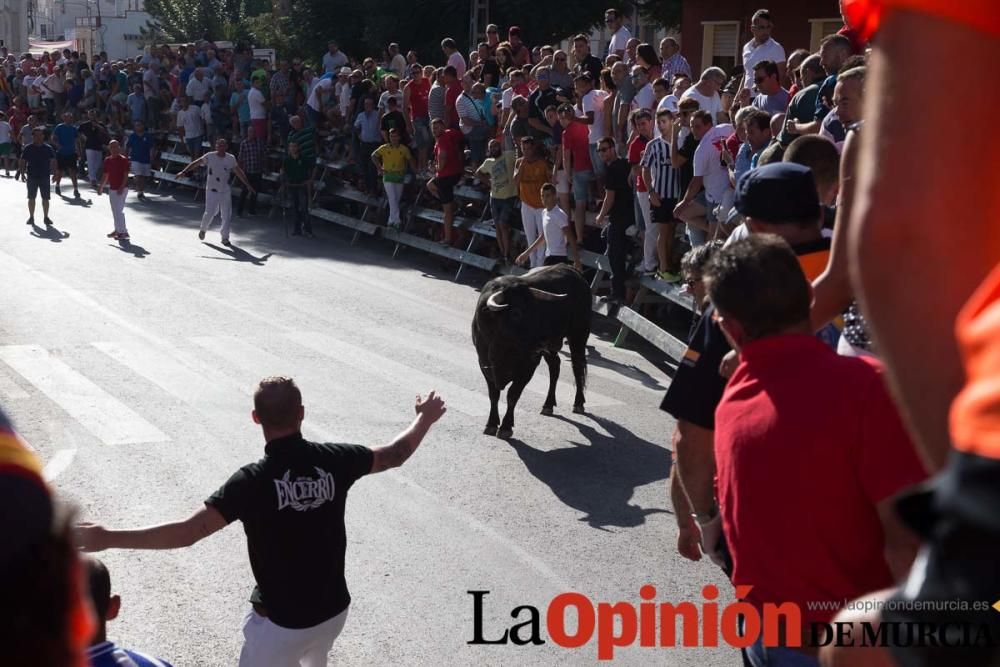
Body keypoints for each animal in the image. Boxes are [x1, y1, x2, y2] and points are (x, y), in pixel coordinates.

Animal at [470, 266, 588, 438]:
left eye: (536, 310)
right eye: (516, 313)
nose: (541, 342)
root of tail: (572, 270)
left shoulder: (529, 365)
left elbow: (513, 395)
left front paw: (506, 427)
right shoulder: (484, 362)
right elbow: (494, 394)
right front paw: (491, 424)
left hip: (578, 336)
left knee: (577, 367)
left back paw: (578, 403)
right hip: (553, 348)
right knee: (555, 366)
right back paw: (548, 405)